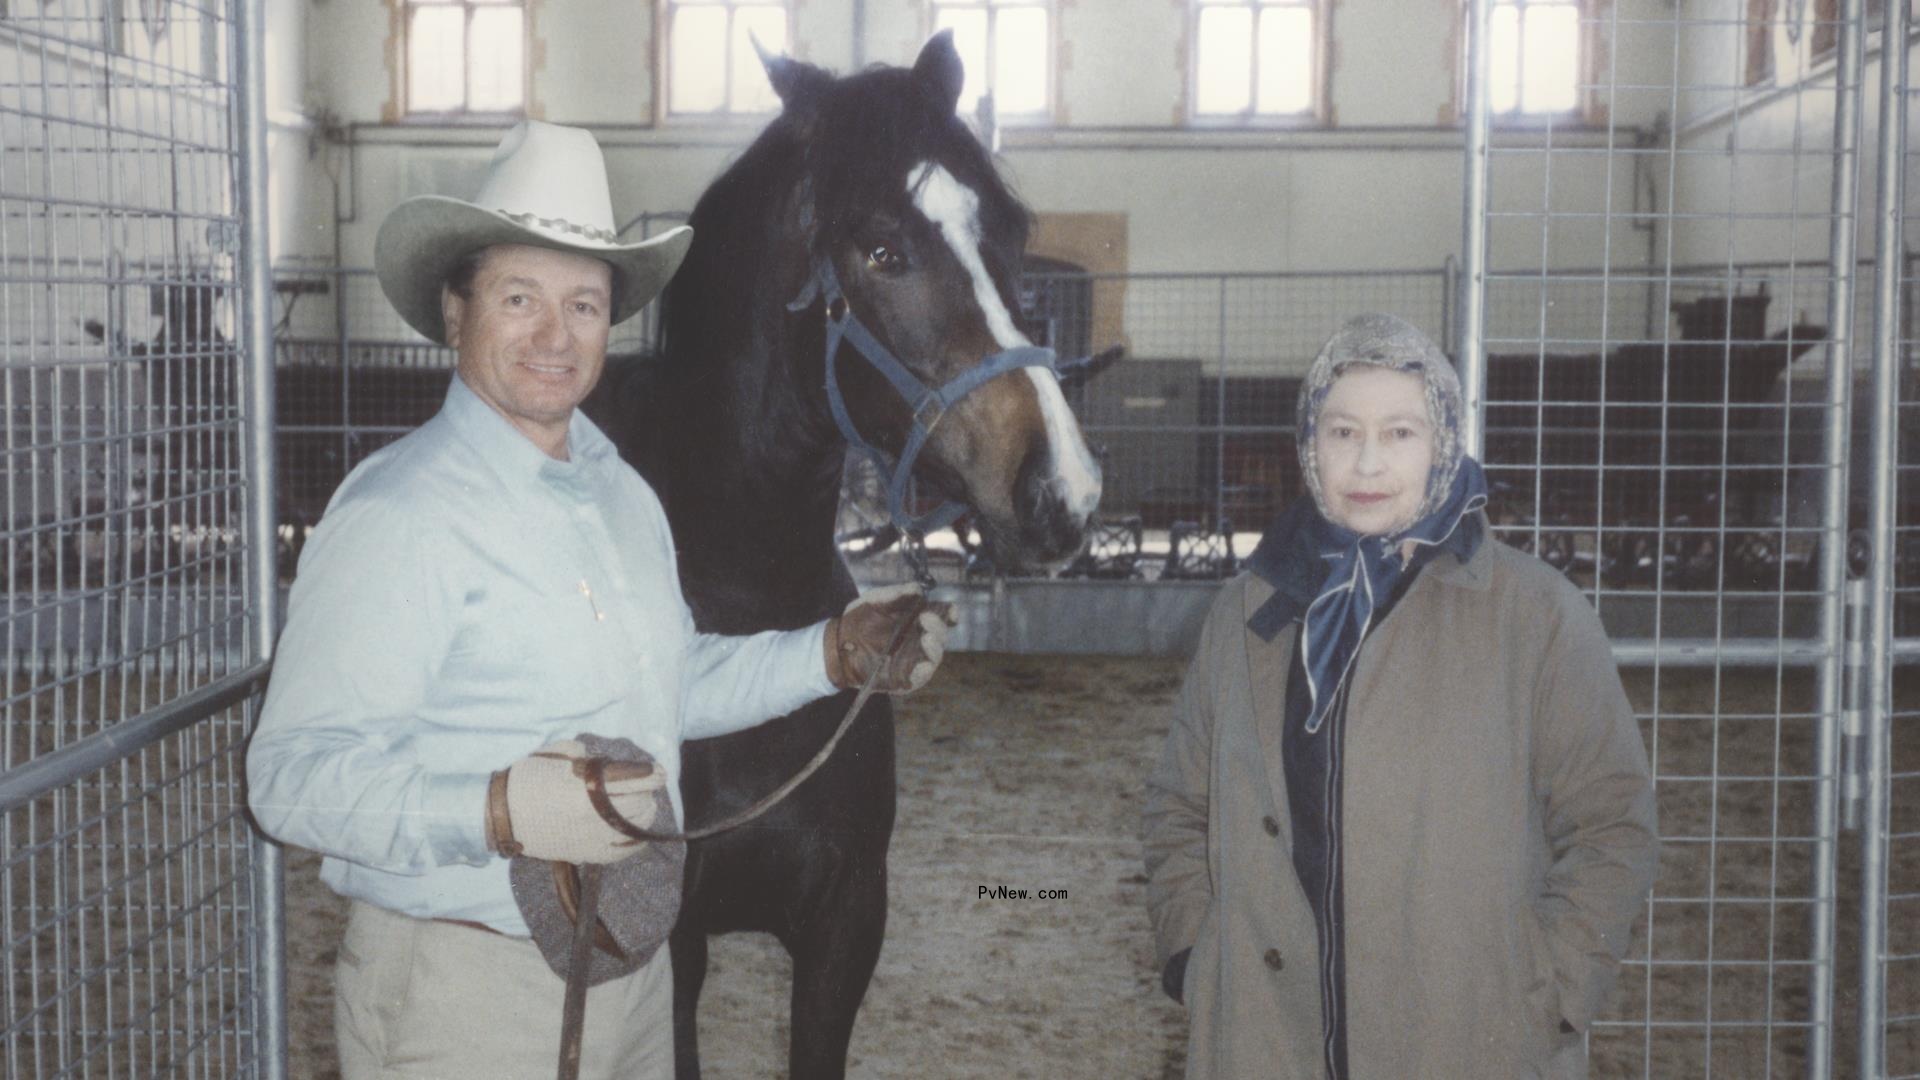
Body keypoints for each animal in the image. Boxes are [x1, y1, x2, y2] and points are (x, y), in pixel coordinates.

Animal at [579, 33, 1098, 1076]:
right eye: (882, 250)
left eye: (1013, 233)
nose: (1060, 490)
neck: (742, 609)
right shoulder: (675, 945)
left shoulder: (846, 925)